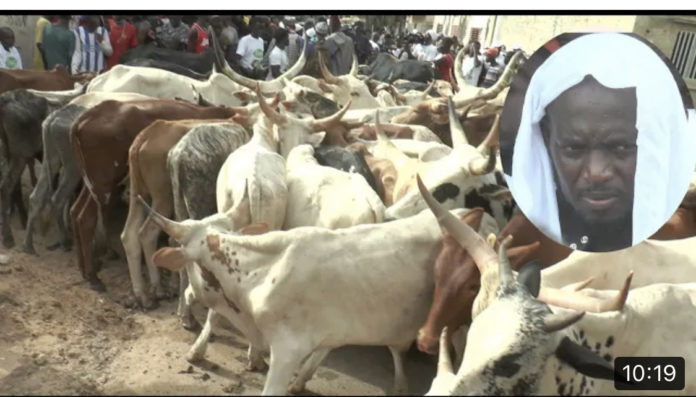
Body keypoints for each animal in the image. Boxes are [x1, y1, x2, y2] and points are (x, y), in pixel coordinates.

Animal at [69, 99, 241, 294]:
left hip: (102, 186)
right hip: (106, 186)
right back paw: (95, 276)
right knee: (88, 219)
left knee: (78, 213)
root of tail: (85, 117)